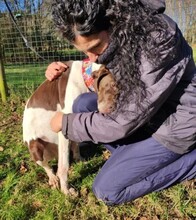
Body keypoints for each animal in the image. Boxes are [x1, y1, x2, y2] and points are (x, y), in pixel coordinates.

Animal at [23, 61, 118, 195]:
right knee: (46, 165)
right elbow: (64, 166)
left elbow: (76, 144)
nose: (112, 110)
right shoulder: (62, 127)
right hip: (35, 147)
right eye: (113, 85)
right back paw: (53, 178)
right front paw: (66, 190)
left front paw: (80, 159)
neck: (84, 78)